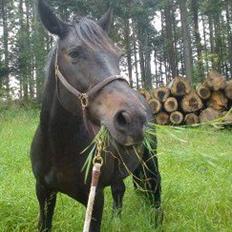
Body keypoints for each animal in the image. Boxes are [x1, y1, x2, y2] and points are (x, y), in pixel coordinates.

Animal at [30, 0, 161, 231]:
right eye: (74, 53)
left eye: (118, 55)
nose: (134, 119)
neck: (58, 147)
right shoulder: (44, 192)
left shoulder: (95, 198)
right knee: (119, 190)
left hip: (150, 160)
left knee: (154, 191)